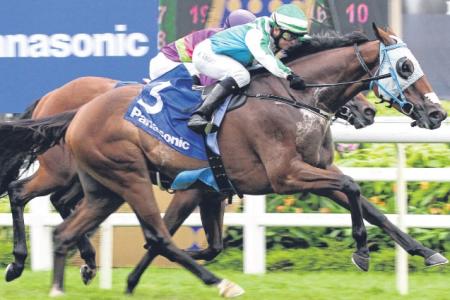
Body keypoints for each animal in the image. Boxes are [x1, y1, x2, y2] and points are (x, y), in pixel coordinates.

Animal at [0, 26, 446, 298]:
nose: (437, 113)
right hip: (112, 175)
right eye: (406, 66)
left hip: (102, 186)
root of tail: (69, 104)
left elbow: (371, 206)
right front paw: (362, 252)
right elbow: (354, 188)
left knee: (61, 219)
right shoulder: (284, 176)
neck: (294, 97)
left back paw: (70, 272)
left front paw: (426, 252)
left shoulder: (306, 173)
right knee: (26, 194)